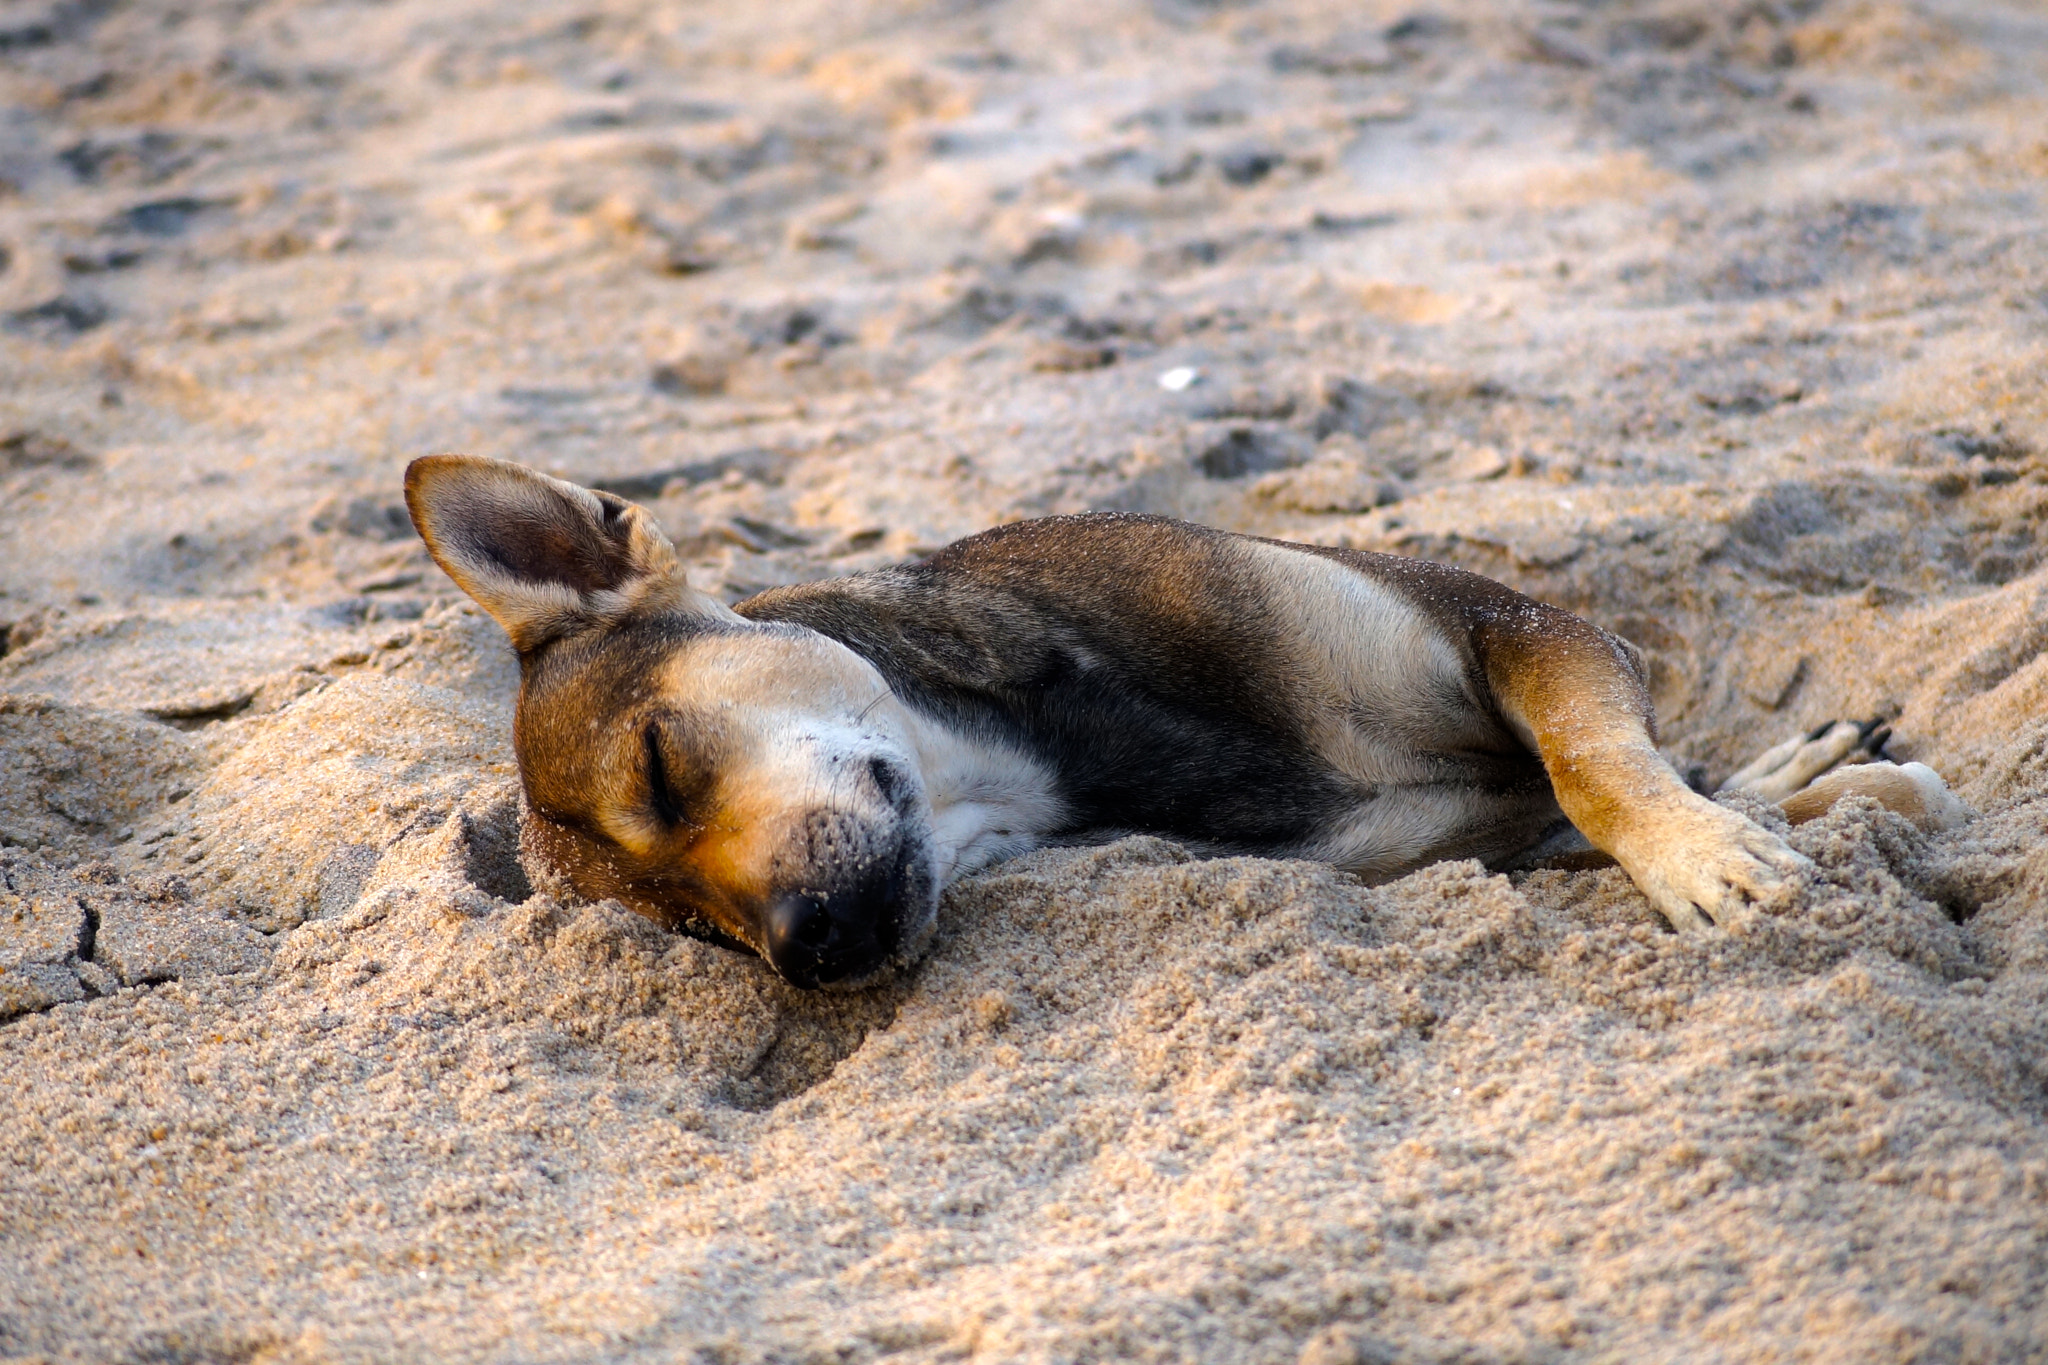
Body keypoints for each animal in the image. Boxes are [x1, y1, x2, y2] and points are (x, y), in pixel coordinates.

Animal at [403, 458, 1966, 994]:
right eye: (690, 933)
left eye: (661, 764)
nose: (809, 952)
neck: (1033, 758)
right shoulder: (1453, 845)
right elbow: (1576, 803)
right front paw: (1772, 814)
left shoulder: (1517, 624)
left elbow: (1596, 765)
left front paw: (1709, 851)